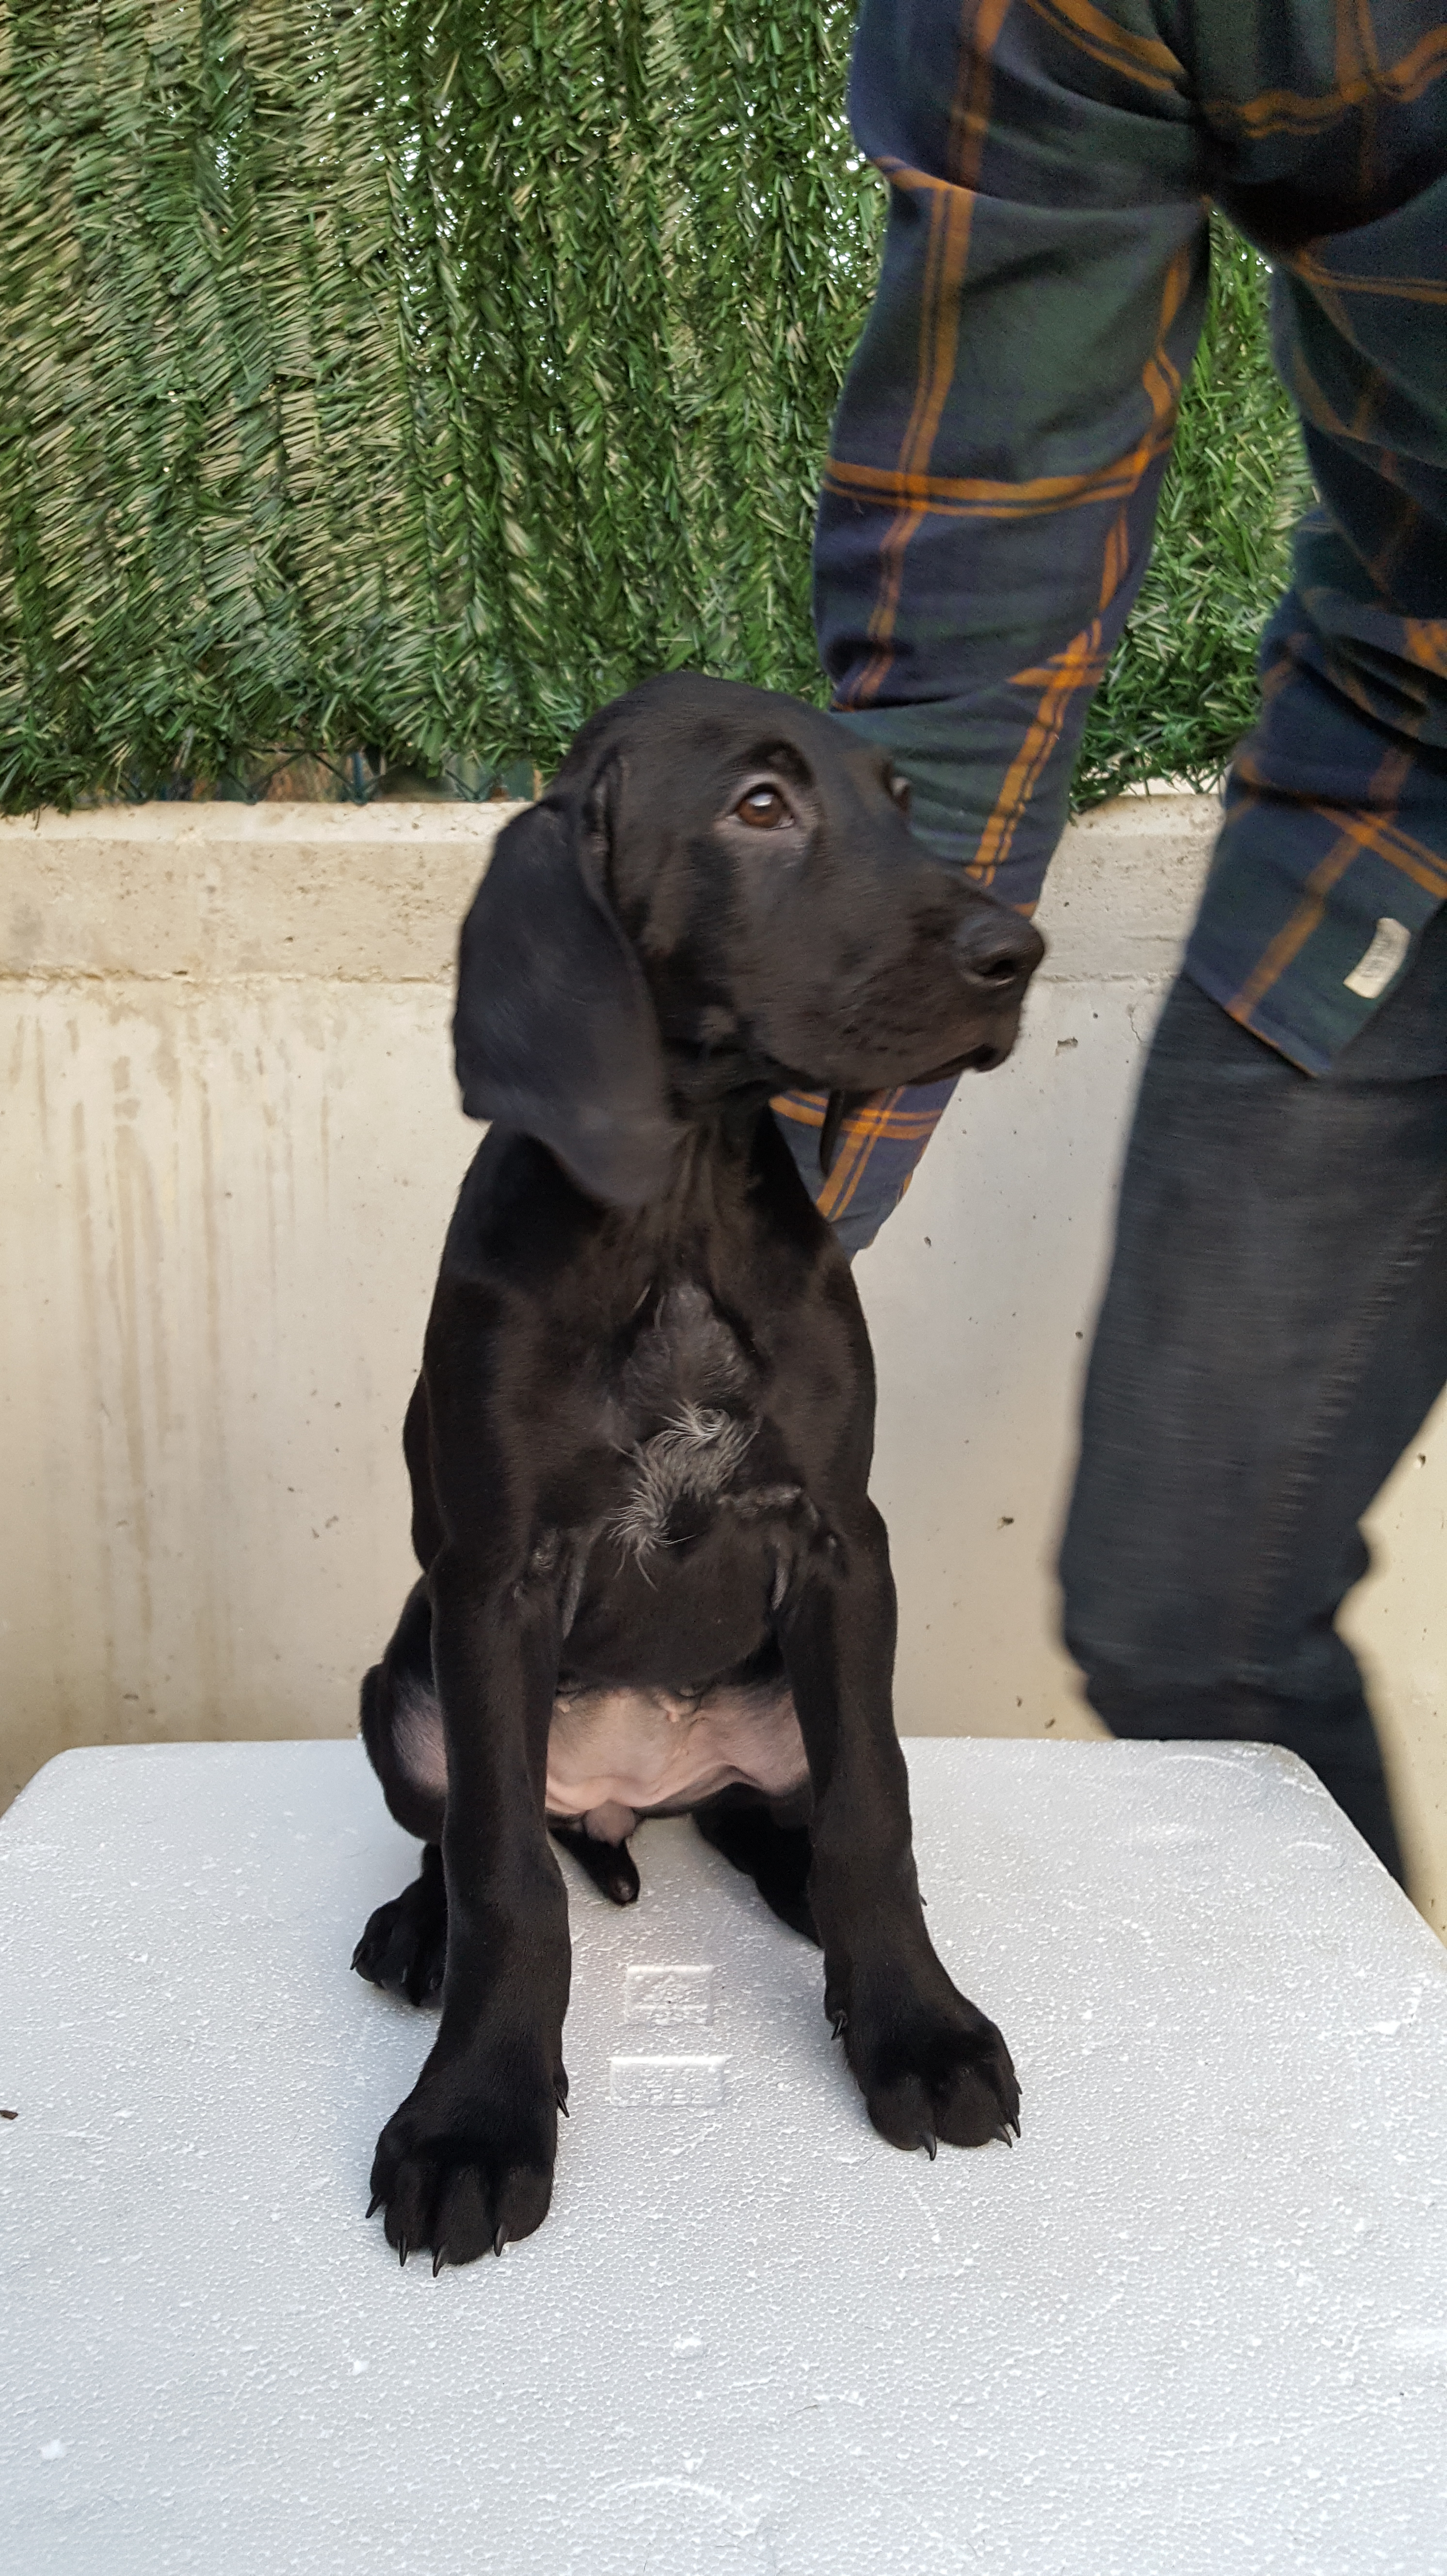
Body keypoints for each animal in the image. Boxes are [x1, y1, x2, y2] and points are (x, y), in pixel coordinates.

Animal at [353, 673, 1044, 2270]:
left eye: (898, 796)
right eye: (758, 807)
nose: (1018, 954)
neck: (671, 1212)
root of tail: (633, 1788)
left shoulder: (840, 1545)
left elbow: (873, 1810)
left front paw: (911, 2024)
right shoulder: (495, 1580)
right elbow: (503, 1872)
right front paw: (475, 2119)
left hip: (776, 1692)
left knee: (775, 1810)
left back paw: (803, 1906)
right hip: (402, 1689)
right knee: (465, 1836)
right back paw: (418, 1931)